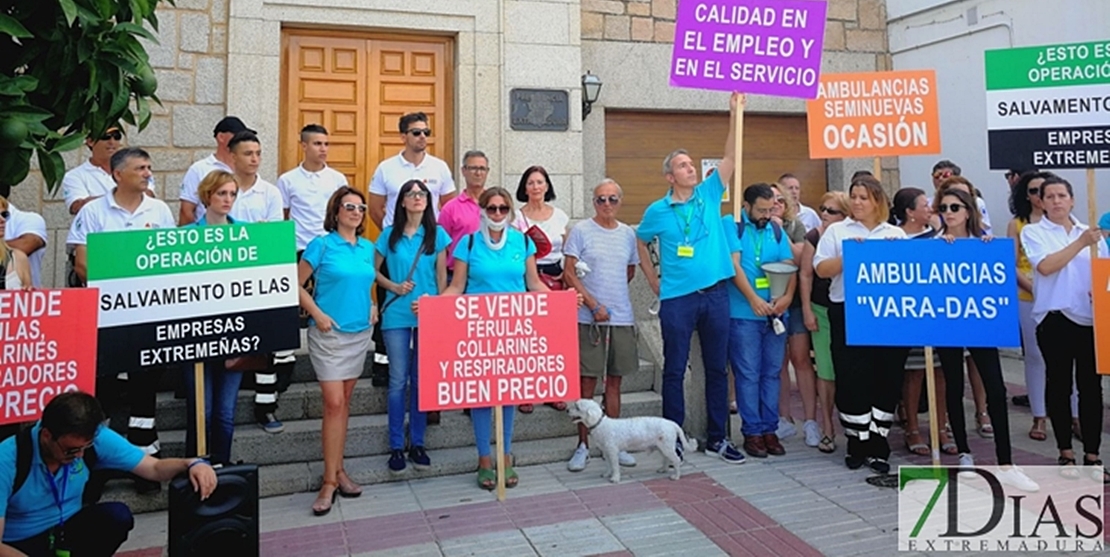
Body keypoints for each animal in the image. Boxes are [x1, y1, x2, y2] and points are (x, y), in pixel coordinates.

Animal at [568, 395, 697, 483]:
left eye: (577, 407)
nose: (567, 410)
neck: (600, 424)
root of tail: (672, 423)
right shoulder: (606, 451)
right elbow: (609, 465)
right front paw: (607, 474)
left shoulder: (612, 451)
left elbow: (615, 466)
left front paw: (615, 478)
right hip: (662, 446)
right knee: (666, 458)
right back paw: (663, 469)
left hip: (667, 446)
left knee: (676, 460)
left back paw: (676, 476)